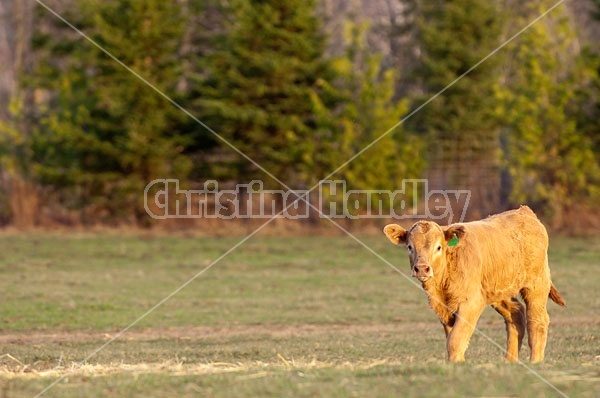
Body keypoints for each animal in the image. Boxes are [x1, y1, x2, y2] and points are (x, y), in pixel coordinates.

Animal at [386, 207, 564, 362]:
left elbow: (455, 340)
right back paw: (510, 362)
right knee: (516, 314)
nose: (422, 268)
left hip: (536, 284)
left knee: (537, 321)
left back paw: (535, 361)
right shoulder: (444, 308)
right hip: (497, 291)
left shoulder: (470, 303)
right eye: (410, 247)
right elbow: (452, 338)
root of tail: (524, 211)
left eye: (438, 247)